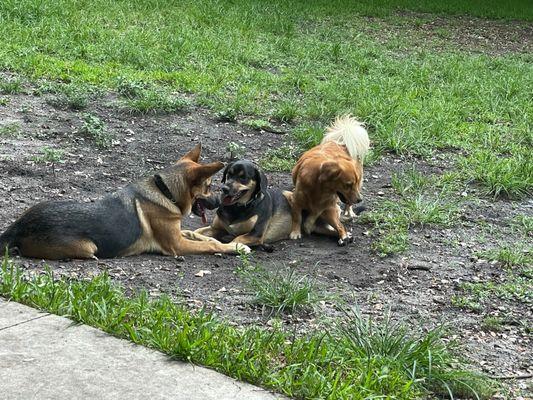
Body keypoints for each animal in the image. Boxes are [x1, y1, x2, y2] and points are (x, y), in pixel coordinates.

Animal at [0, 144, 249, 260]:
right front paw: (233, 247)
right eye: (208, 187)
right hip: (87, 247)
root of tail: (19, 226)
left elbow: (198, 234)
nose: (220, 202)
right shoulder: (176, 245)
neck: (164, 191)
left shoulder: (179, 233)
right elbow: (210, 244)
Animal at [193, 159, 338, 247]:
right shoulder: (214, 228)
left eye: (243, 177)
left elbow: (237, 239)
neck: (238, 208)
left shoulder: (255, 234)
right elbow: (197, 231)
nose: (224, 188)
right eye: (229, 174)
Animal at [288, 115, 368, 245]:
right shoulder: (296, 200)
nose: (360, 200)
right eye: (348, 184)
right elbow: (297, 217)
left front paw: (308, 226)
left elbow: (313, 218)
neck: (319, 187)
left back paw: (347, 223)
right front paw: (295, 232)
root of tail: (342, 143)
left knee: (342, 220)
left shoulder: (327, 205)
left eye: (352, 184)